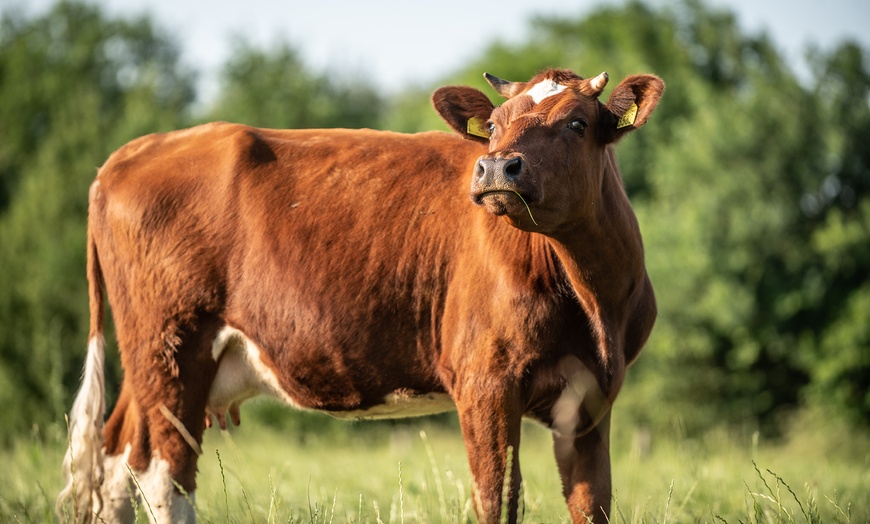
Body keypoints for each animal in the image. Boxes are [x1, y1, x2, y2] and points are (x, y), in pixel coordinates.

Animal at [58, 67, 664, 520]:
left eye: (578, 122)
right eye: (493, 125)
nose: (496, 167)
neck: (593, 302)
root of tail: (136, 151)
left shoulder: (593, 396)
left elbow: (591, 504)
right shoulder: (486, 382)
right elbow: (497, 499)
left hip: (153, 362)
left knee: (116, 461)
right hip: (172, 348)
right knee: (165, 475)